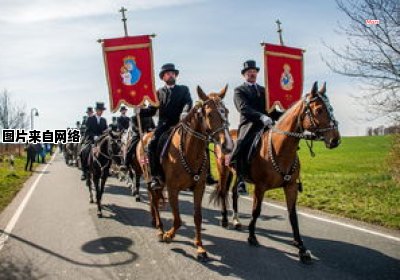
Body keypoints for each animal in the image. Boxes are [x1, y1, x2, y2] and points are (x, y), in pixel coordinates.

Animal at [137, 85, 233, 260]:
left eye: (226, 111)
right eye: (209, 114)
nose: (228, 146)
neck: (188, 151)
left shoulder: (199, 188)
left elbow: (197, 218)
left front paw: (200, 247)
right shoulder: (173, 189)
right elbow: (177, 218)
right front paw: (169, 235)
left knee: (155, 201)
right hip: (150, 179)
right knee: (154, 200)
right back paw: (160, 229)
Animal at [212, 82, 340, 264]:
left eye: (331, 108)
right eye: (319, 110)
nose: (335, 140)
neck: (281, 149)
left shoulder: (291, 187)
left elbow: (293, 216)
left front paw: (301, 247)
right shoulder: (260, 187)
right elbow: (256, 211)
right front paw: (252, 237)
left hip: (237, 175)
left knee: (234, 193)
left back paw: (236, 220)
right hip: (223, 170)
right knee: (223, 192)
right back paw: (224, 220)